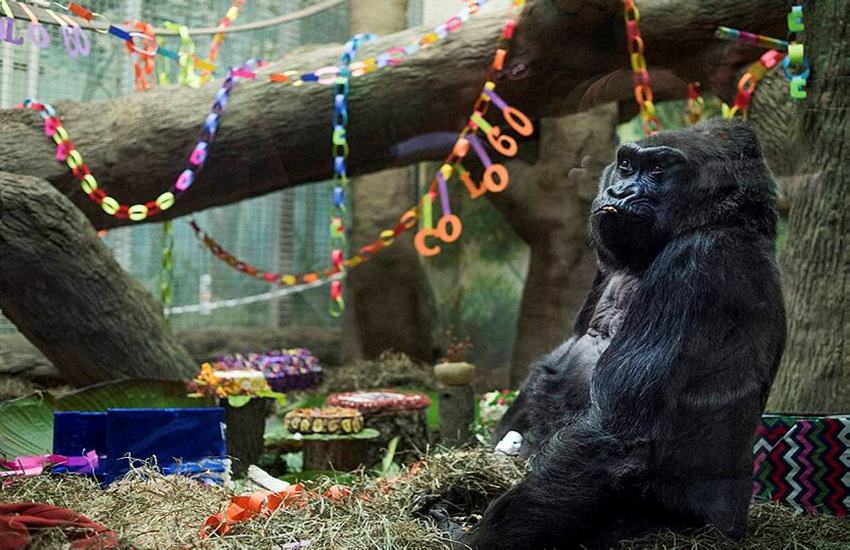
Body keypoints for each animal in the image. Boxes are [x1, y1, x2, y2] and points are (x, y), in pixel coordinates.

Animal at [464, 119, 786, 548]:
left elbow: (614, 435)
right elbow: (557, 361)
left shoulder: (696, 260)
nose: (619, 191)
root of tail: (734, 525)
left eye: (658, 170)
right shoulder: (604, 265)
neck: (723, 219)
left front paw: (479, 538)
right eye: (627, 165)